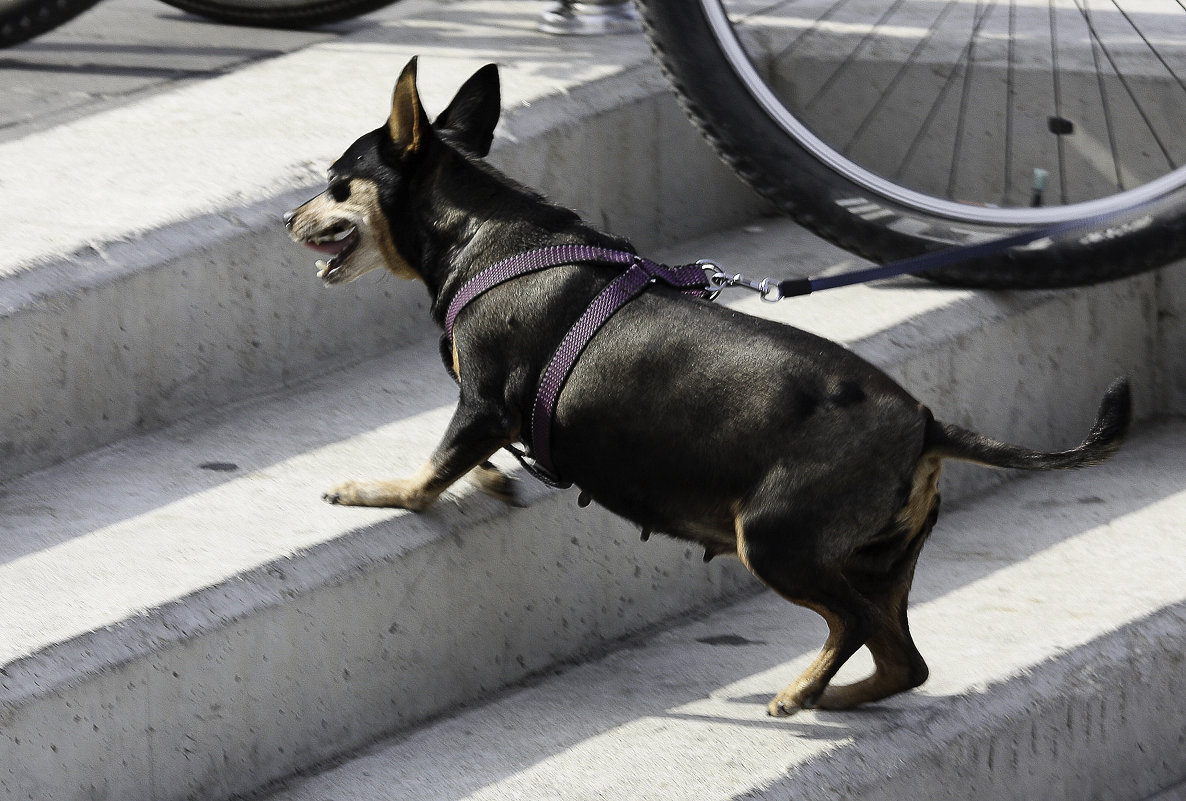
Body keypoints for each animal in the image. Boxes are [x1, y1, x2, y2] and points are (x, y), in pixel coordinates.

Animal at [284, 59, 1129, 716]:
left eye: (336, 184)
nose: (288, 218)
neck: (484, 232)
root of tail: (926, 423)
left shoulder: (484, 401)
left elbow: (431, 472)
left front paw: (377, 490)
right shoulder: (489, 414)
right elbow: (469, 460)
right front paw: (491, 479)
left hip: (779, 543)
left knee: (855, 626)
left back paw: (803, 691)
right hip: (878, 561)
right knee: (903, 660)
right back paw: (834, 695)